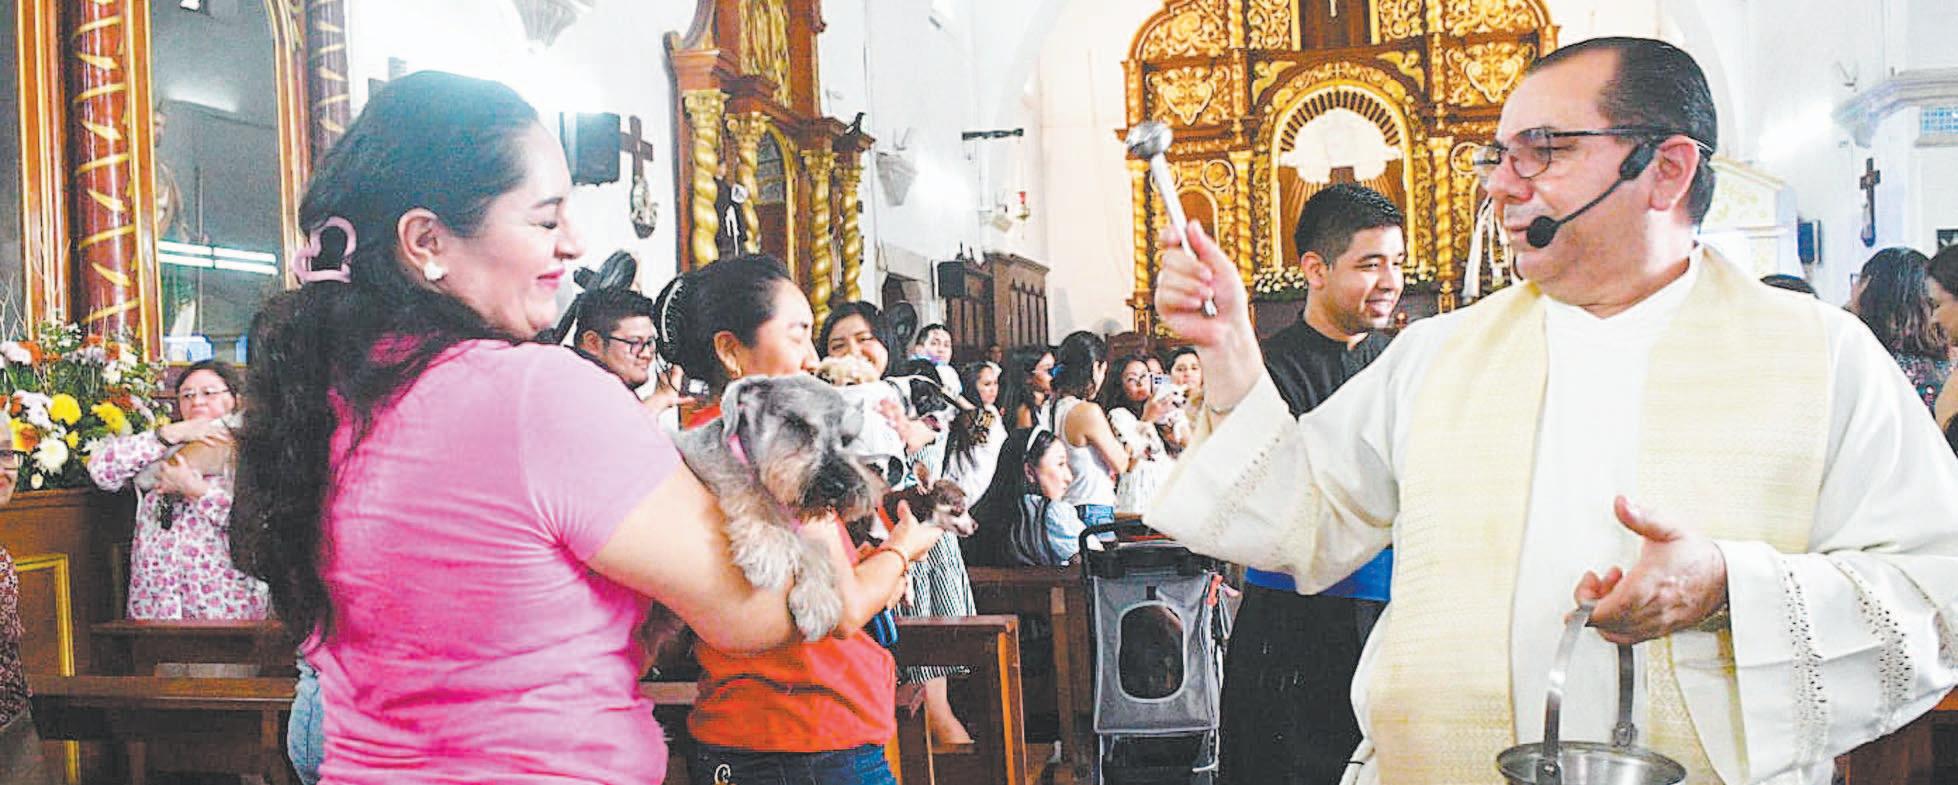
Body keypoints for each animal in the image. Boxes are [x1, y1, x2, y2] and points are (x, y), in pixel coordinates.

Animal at [673, 374, 885, 641]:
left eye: (847, 439)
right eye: (797, 423)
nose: (837, 485)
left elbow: (816, 547)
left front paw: (818, 599)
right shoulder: (705, 462)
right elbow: (747, 490)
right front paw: (768, 548)